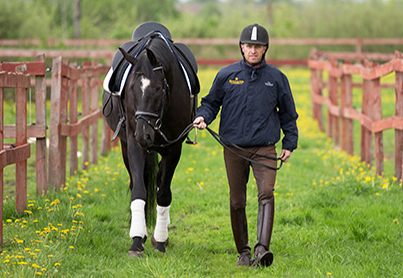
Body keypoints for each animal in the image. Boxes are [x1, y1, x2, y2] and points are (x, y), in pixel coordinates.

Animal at [102, 27, 199, 258]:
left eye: (157, 89)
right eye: (131, 89)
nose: (143, 134)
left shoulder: (173, 149)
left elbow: (163, 194)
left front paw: (161, 240)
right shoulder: (134, 145)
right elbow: (139, 190)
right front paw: (137, 240)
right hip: (126, 147)